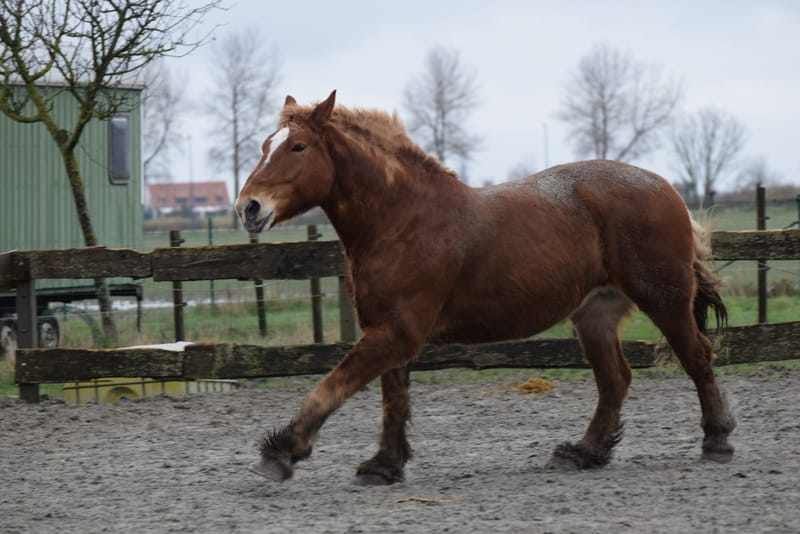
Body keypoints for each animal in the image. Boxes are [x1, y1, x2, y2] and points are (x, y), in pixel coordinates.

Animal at [235, 91, 735, 485]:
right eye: (264, 145)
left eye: (297, 146)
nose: (248, 208)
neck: (402, 221)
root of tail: (666, 188)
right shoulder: (389, 331)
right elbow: (392, 398)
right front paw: (384, 465)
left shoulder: (396, 332)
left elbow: (330, 387)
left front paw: (281, 452)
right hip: (595, 312)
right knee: (615, 380)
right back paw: (584, 452)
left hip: (665, 300)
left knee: (697, 357)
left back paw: (717, 440)